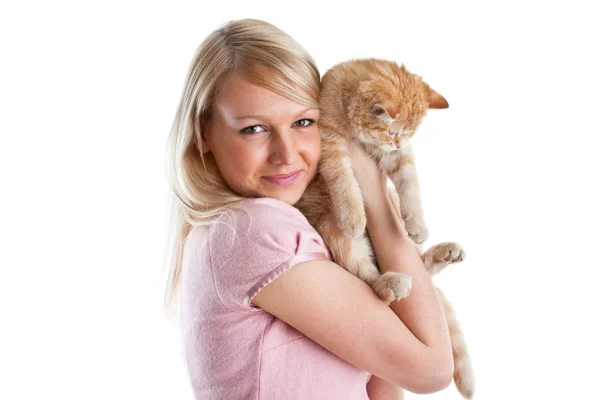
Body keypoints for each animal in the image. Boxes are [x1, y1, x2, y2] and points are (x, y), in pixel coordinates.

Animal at [296, 59, 474, 400]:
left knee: (419, 266)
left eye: (410, 133)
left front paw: (416, 222)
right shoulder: (329, 140)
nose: (398, 141)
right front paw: (354, 215)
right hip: (334, 233)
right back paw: (390, 282)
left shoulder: (399, 158)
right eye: (392, 130)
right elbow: (342, 178)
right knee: (367, 277)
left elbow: (410, 184)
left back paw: (444, 252)